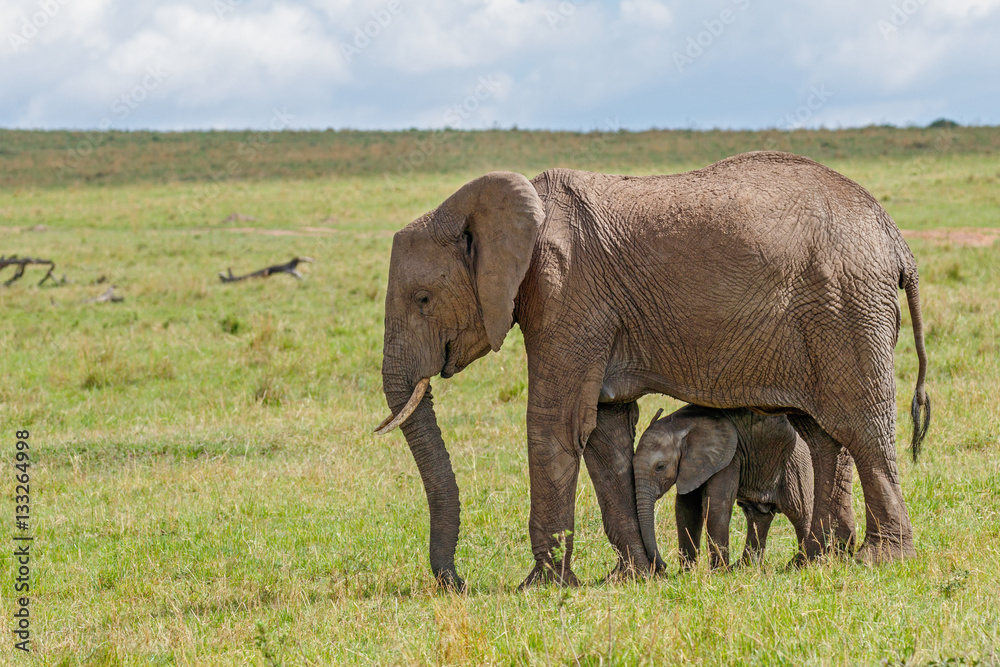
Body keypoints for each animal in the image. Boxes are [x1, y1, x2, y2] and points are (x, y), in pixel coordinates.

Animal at [636, 408, 816, 568]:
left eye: (660, 467)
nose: (663, 565)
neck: (680, 424)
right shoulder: (692, 466)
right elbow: (686, 508)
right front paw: (687, 573)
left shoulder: (729, 456)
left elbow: (716, 506)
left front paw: (718, 572)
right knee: (758, 515)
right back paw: (745, 567)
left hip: (796, 463)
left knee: (799, 511)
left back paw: (799, 565)